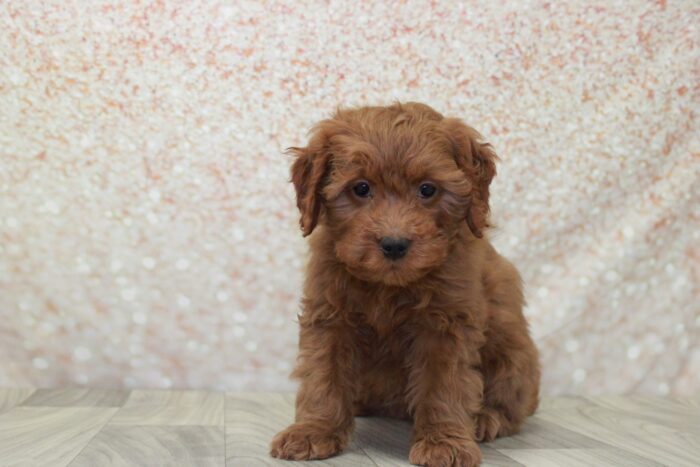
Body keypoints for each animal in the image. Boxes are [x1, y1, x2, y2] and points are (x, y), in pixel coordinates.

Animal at [270, 103, 540, 467]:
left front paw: (444, 442)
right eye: (361, 188)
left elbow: (444, 384)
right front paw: (313, 431)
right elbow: (323, 373)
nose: (394, 244)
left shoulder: (446, 324)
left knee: (512, 404)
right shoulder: (330, 315)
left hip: (514, 356)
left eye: (427, 189)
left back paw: (485, 418)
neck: (389, 286)